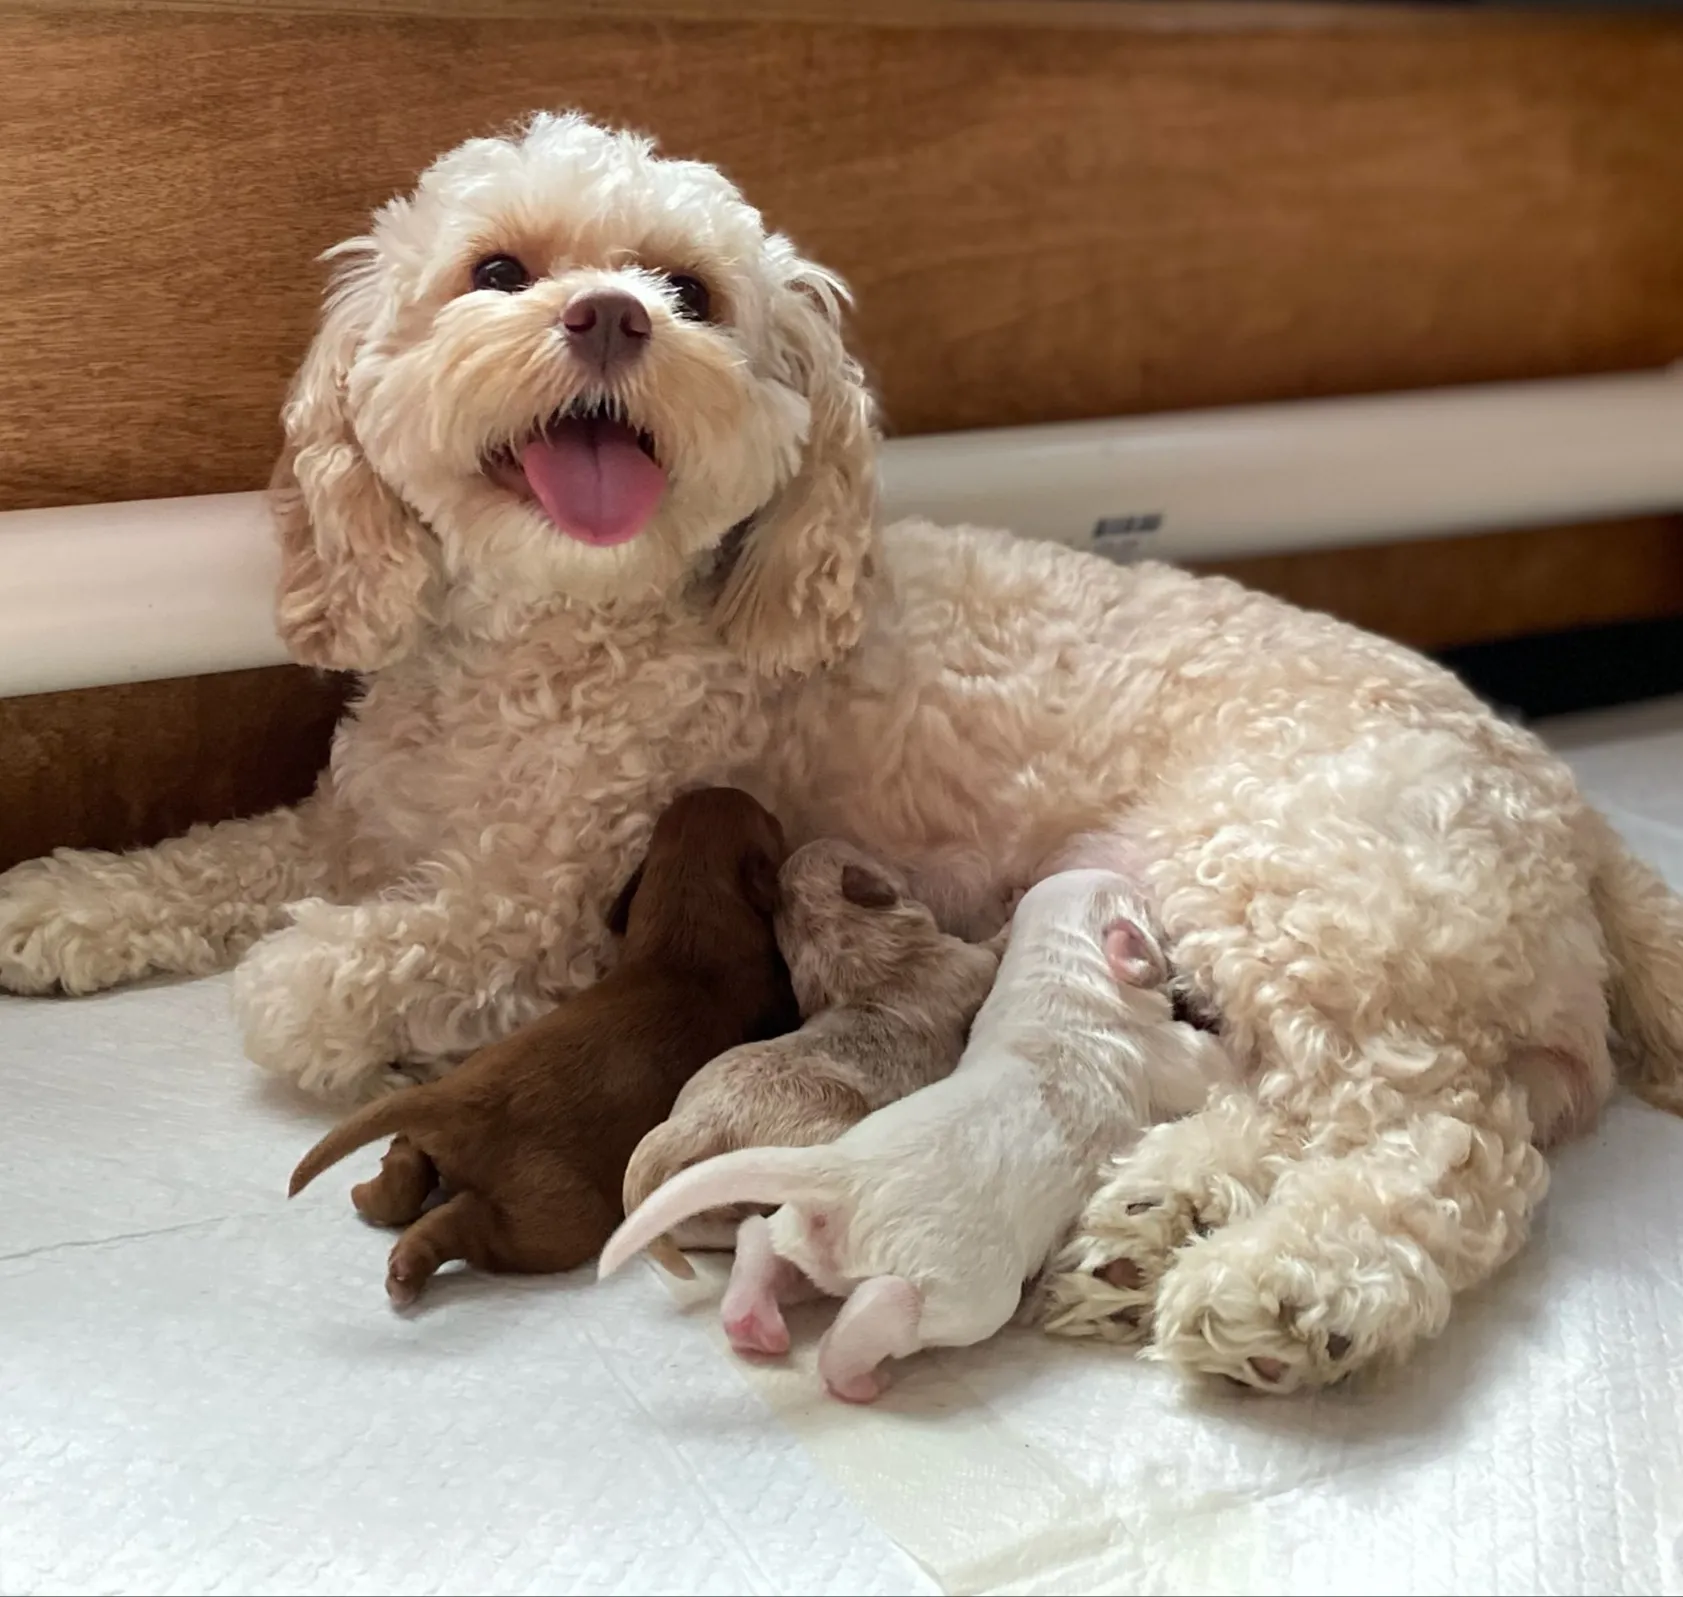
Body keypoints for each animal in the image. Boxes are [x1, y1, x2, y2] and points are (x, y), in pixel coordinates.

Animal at [284, 780, 794, 1299]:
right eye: (772, 821)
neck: (685, 927)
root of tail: (459, 1098)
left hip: (431, 1141)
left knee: (406, 1165)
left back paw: (369, 1198)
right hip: (555, 1217)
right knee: (465, 1224)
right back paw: (409, 1262)